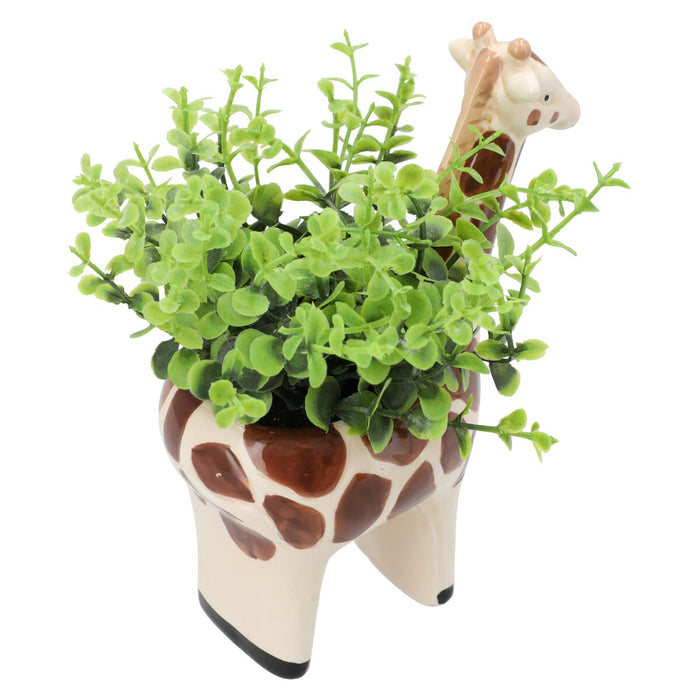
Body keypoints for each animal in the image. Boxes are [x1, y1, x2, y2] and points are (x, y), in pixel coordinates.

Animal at [158, 23, 579, 679]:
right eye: (543, 91)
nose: (577, 109)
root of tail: (197, 421)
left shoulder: (424, 496)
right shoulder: (451, 480)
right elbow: (435, 559)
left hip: (219, 514)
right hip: (287, 546)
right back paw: (276, 658)